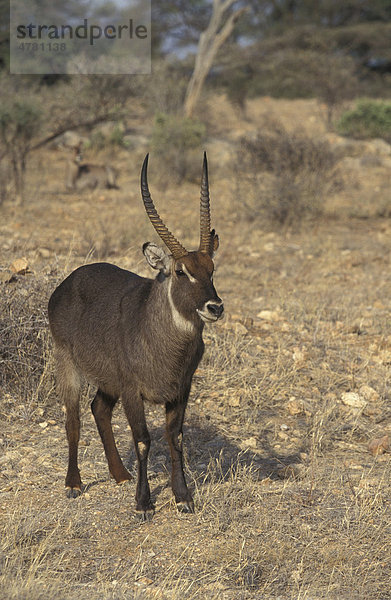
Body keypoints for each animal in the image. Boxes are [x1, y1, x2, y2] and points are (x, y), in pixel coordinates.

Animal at [49, 152, 224, 516]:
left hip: (107, 381)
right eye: (180, 271)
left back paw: (120, 474)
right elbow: (143, 440)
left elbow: (176, 437)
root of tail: (69, 281)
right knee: (73, 420)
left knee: (98, 409)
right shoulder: (133, 391)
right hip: (68, 364)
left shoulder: (180, 390)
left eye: (212, 269)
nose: (215, 307)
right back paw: (73, 484)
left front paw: (183, 497)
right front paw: (144, 503)